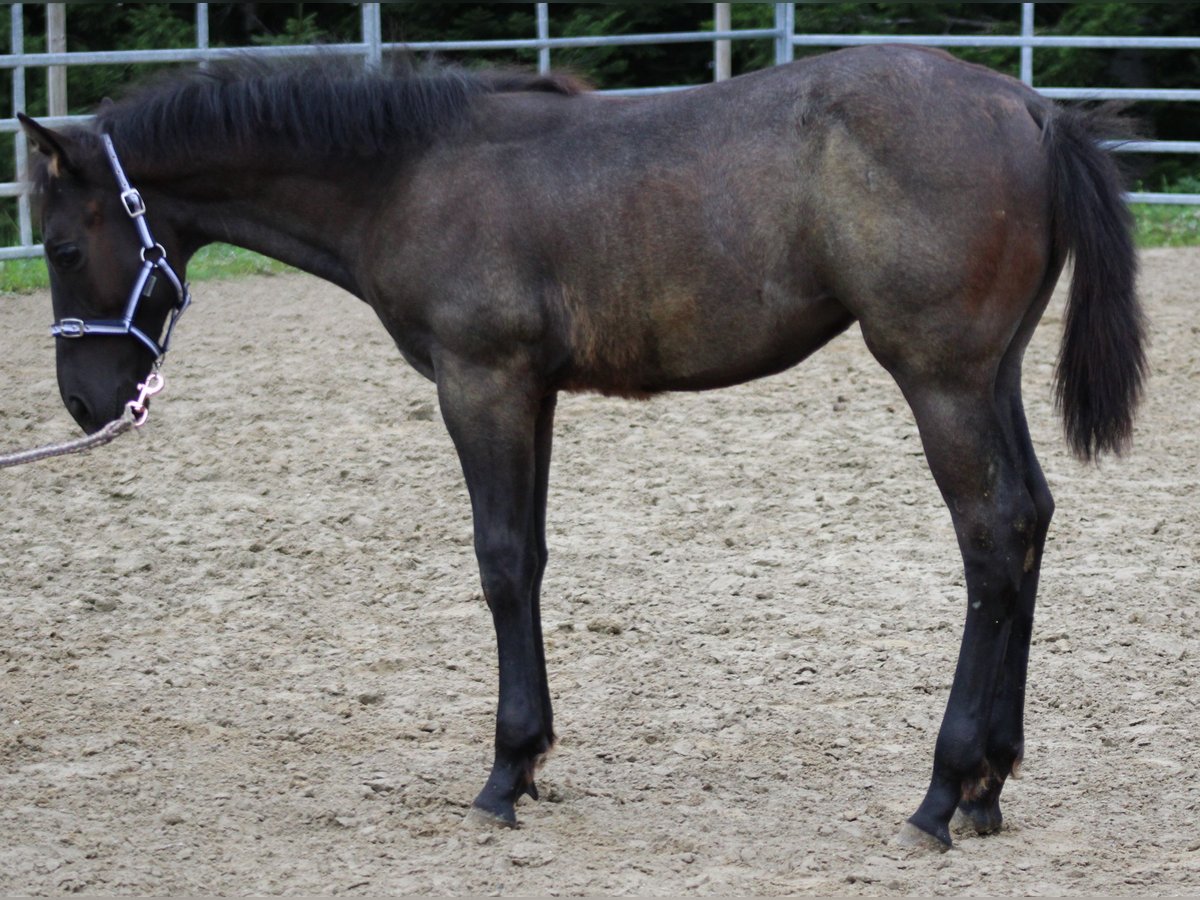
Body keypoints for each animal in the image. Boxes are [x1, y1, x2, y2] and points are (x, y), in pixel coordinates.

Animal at [18, 47, 1142, 854]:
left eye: (64, 245)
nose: (87, 401)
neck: (411, 173)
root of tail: (1031, 110)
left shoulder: (482, 383)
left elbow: (503, 564)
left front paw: (505, 771)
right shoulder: (532, 392)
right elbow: (535, 557)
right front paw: (533, 758)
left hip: (941, 379)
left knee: (992, 538)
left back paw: (944, 791)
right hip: (989, 376)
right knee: (1030, 523)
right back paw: (992, 784)